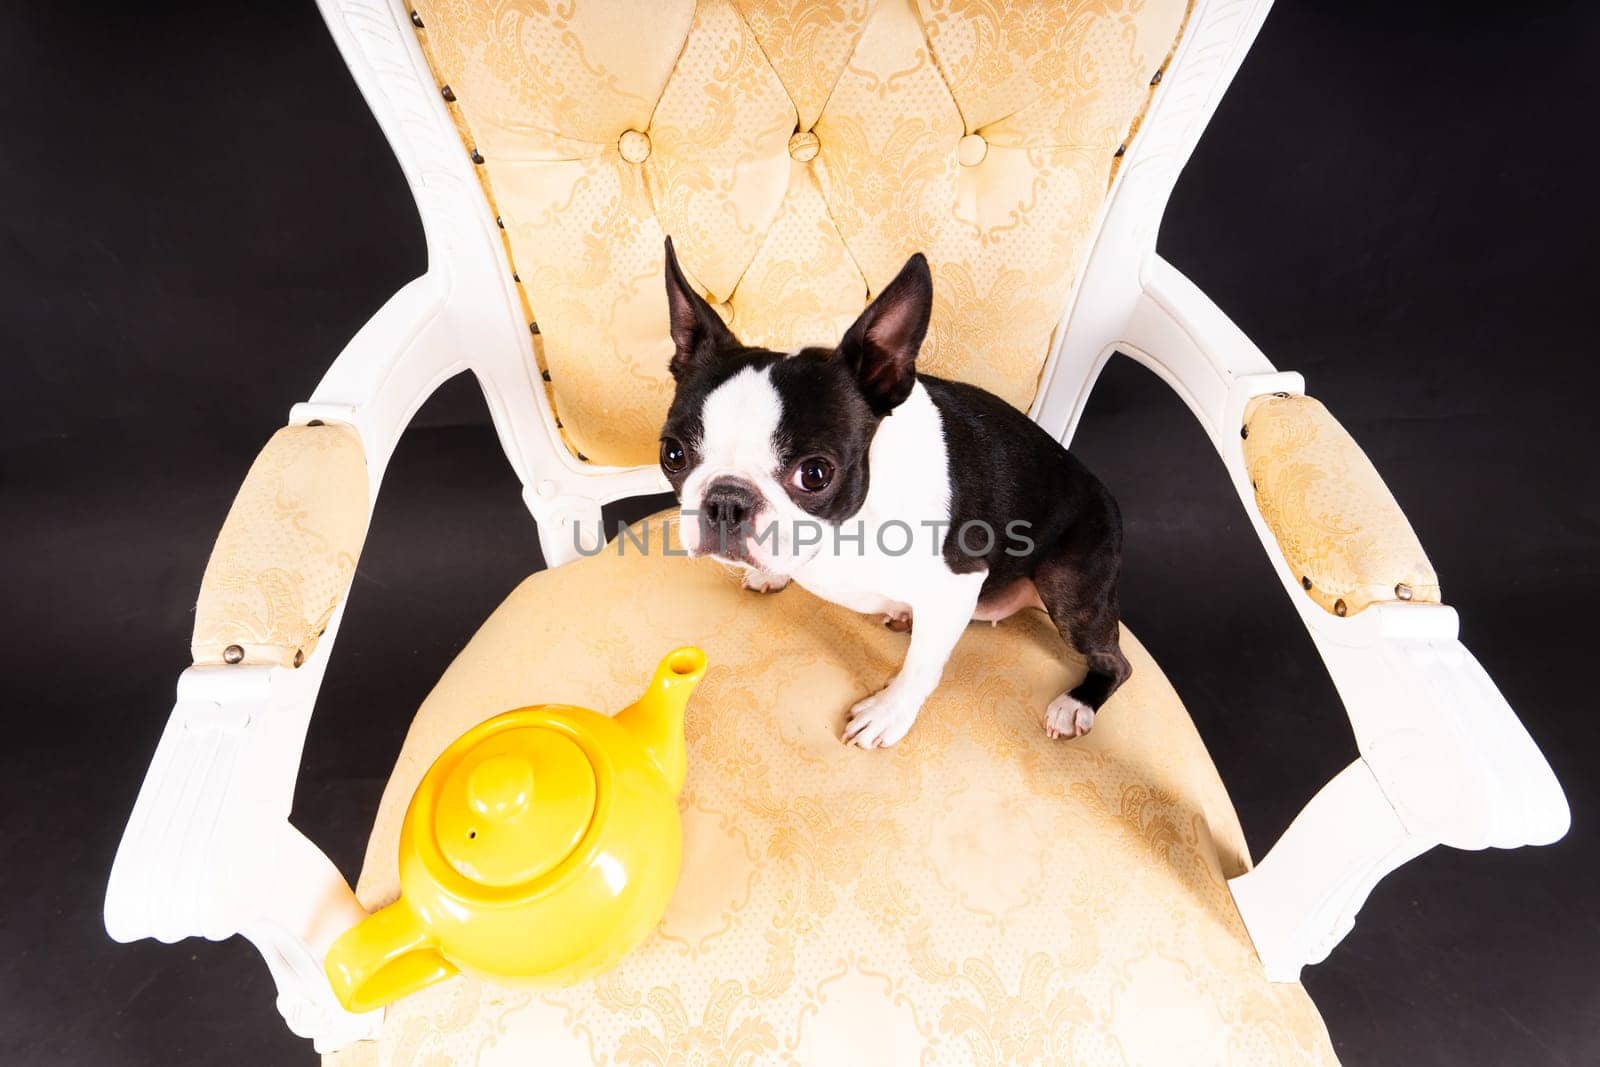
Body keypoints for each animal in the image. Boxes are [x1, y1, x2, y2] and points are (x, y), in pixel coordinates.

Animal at [656, 238, 1132, 748]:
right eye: (673, 454)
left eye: (815, 474)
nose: (726, 500)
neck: (847, 527)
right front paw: (773, 576)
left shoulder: (957, 583)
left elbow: (921, 665)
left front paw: (889, 713)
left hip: (1070, 593)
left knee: (1116, 660)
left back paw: (1076, 703)